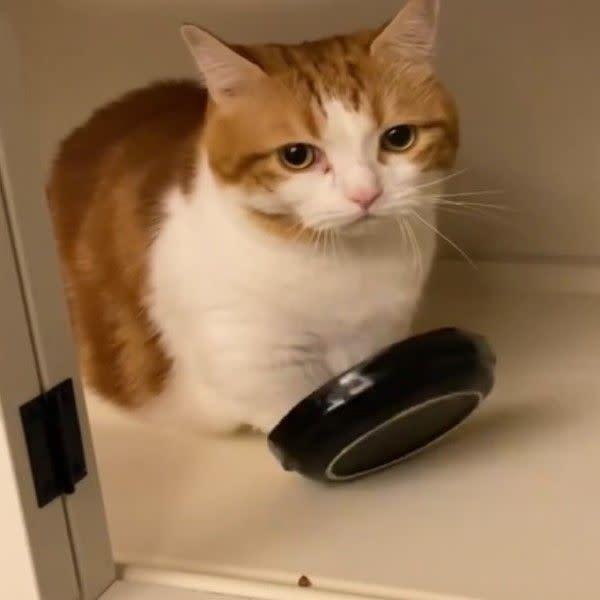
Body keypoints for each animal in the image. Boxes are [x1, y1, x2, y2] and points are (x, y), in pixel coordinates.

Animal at [47, 0, 458, 434]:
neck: (340, 266)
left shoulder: (382, 334)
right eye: (296, 156)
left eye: (399, 138)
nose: (365, 193)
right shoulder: (257, 363)